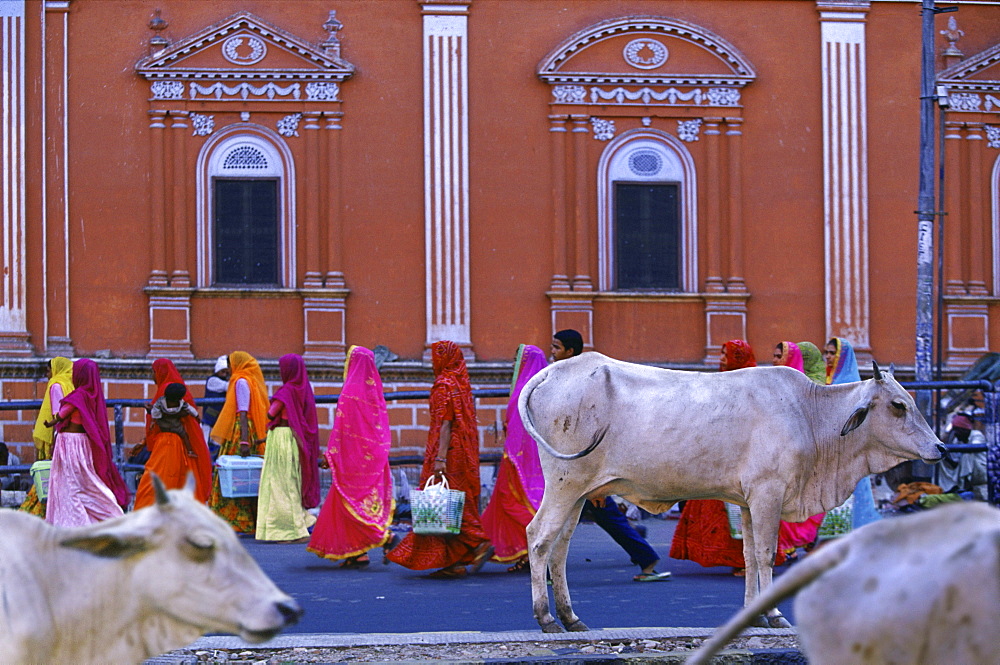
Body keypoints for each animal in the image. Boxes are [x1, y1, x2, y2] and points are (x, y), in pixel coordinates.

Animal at [520, 350, 948, 632]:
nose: (941, 448)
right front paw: (774, 614)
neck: (810, 415)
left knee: (560, 547)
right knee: (539, 538)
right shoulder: (768, 494)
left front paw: (753, 615)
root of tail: (554, 372)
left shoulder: (746, 502)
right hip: (565, 485)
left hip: (579, 494)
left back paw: (571, 617)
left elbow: (748, 556)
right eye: (897, 405)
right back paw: (546, 618)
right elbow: (765, 555)